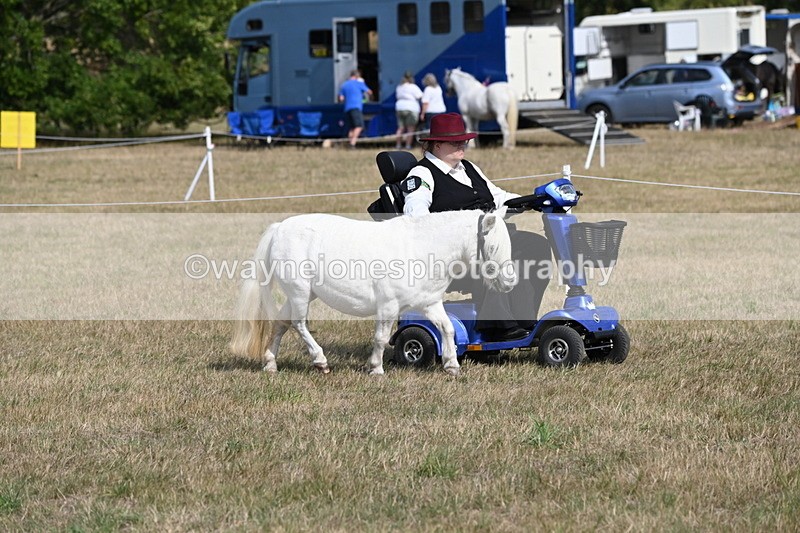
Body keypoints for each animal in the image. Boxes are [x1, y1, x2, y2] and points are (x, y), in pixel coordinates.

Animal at [230, 207, 515, 376]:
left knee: (281, 322)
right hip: (299, 292)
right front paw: (376, 369)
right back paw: (320, 361)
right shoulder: (388, 305)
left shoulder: (430, 303)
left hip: (302, 294)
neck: (420, 248)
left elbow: (447, 329)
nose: (510, 282)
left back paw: (270, 363)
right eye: (493, 246)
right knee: (299, 323)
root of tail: (279, 228)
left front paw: (451, 365)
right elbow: (380, 338)